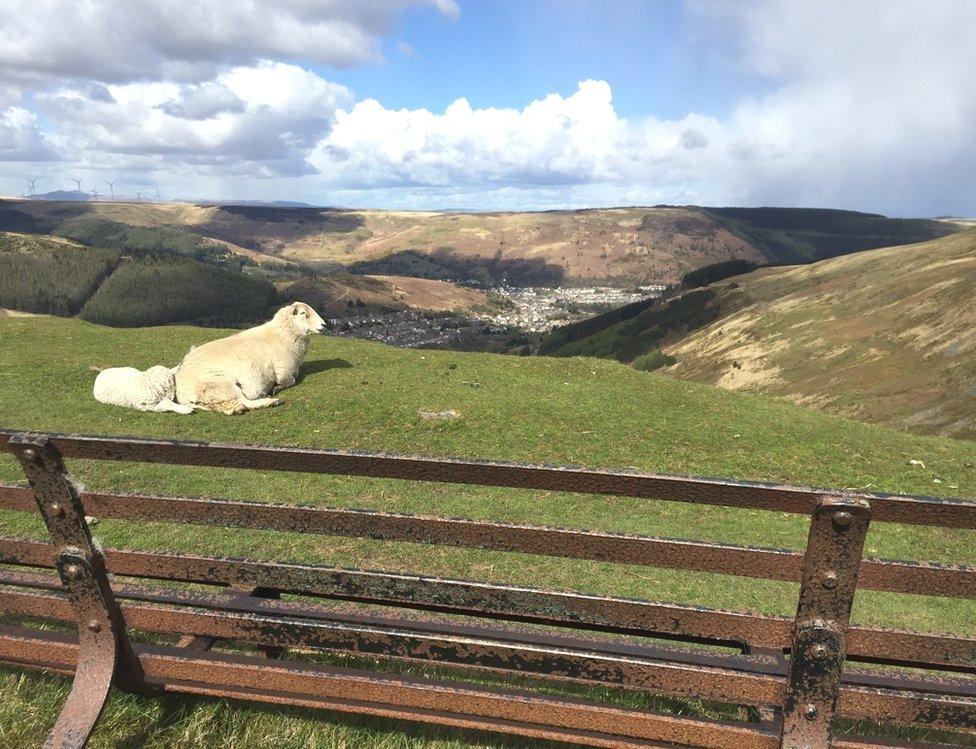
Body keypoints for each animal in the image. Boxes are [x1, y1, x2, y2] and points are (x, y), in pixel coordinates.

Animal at [174, 300, 324, 414]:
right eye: (303, 313)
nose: (324, 325)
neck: (281, 335)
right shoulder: (283, 372)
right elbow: (291, 380)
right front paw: (276, 388)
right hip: (221, 384)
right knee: (245, 401)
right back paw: (271, 401)